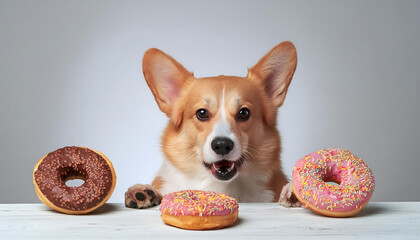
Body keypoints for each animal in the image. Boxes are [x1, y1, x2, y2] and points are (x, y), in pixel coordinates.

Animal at [125, 41, 302, 208]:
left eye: (244, 113)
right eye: (202, 113)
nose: (222, 145)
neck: (221, 187)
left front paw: (293, 190)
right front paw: (144, 192)